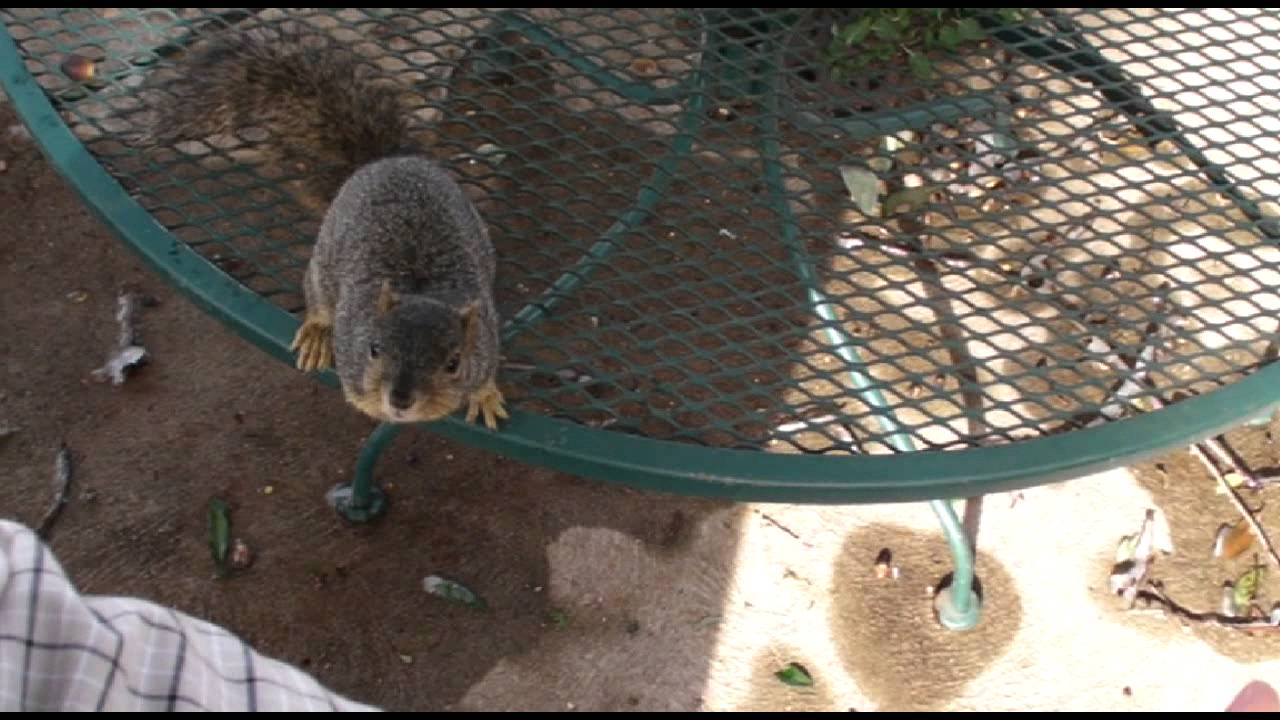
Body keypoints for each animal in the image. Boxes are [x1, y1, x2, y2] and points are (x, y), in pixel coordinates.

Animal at [144, 26, 508, 429]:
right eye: (374, 348)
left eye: (453, 363)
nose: (399, 399)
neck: (420, 289)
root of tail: (385, 161)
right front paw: (368, 400)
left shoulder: (486, 337)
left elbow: (486, 371)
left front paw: (485, 395)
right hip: (324, 259)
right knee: (317, 293)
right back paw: (318, 331)